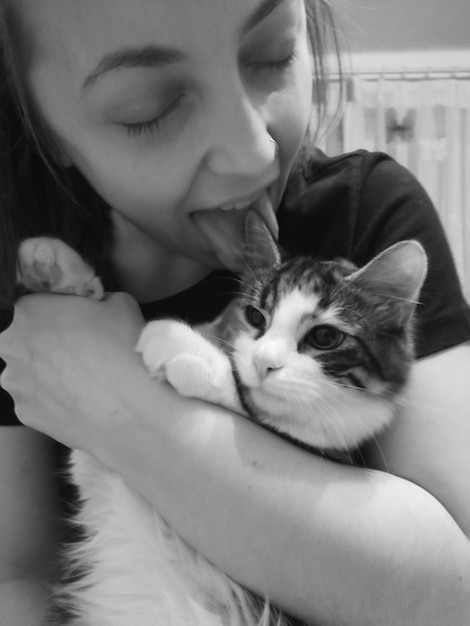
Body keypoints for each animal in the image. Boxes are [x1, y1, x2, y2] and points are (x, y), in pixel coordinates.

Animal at [17, 211, 426, 624]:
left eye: (324, 338)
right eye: (255, 316)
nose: (264, 363)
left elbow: (250, 406)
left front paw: (184, 347)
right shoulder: (102, 480)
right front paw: (56, 268)